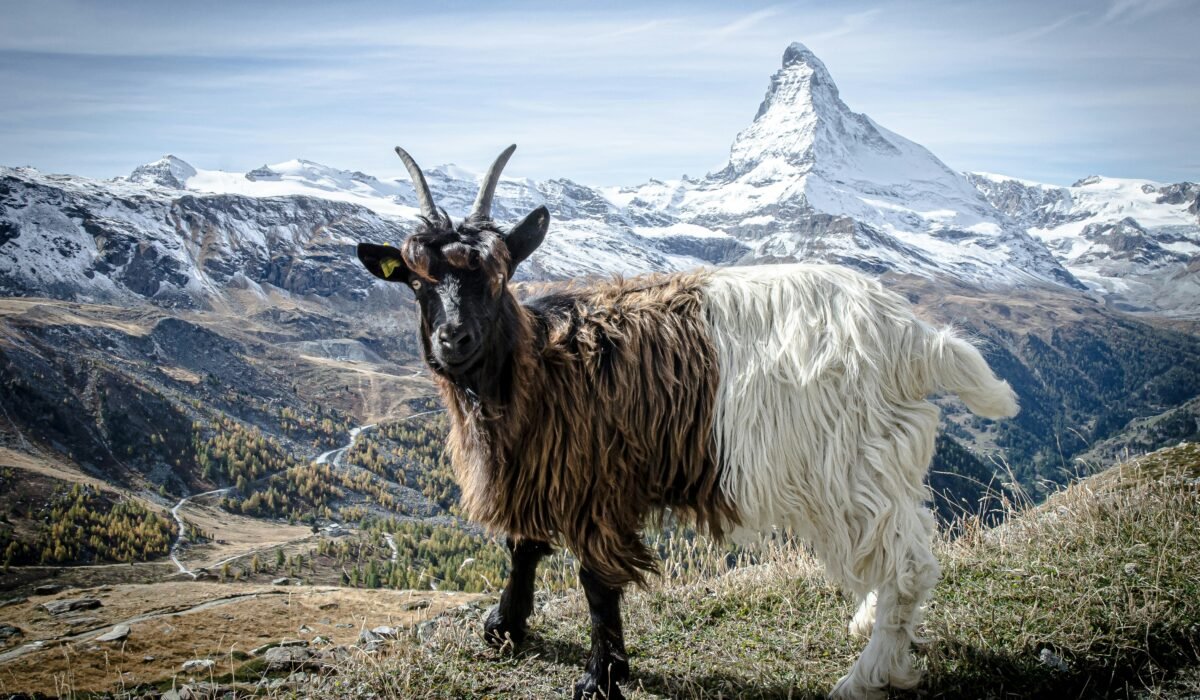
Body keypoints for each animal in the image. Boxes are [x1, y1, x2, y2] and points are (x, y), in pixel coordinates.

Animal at [356, 145, 1019, 700]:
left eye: (498, 276)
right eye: (416, 281)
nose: (453, 339)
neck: (537, 361)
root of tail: (911, 335)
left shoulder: (598, 482)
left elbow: (596, 581)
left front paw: (600, 677)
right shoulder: (544, 467)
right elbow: (524, 545)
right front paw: (505, 627)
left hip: (850, 465)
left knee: (909, 566)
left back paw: (867, 677)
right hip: (879, 465)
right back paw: (869, 628)